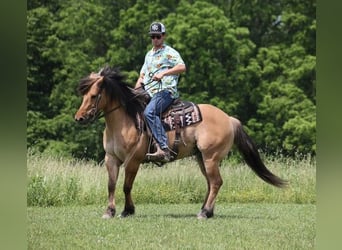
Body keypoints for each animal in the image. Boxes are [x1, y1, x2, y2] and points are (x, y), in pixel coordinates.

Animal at [74, 66, 286, 219]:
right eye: (83, 95)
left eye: (94, 95)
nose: (79, 118)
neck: (126, 120)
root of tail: (229, 119)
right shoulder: (111, 158)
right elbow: (111, 184)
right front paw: (109, 212)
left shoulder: (133, 160)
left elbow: (127, 186)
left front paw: (127, 211)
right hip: (202, 158)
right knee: (210, 183)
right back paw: (206, 211)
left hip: (211, 157)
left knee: (216, 182)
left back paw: (204, 213)